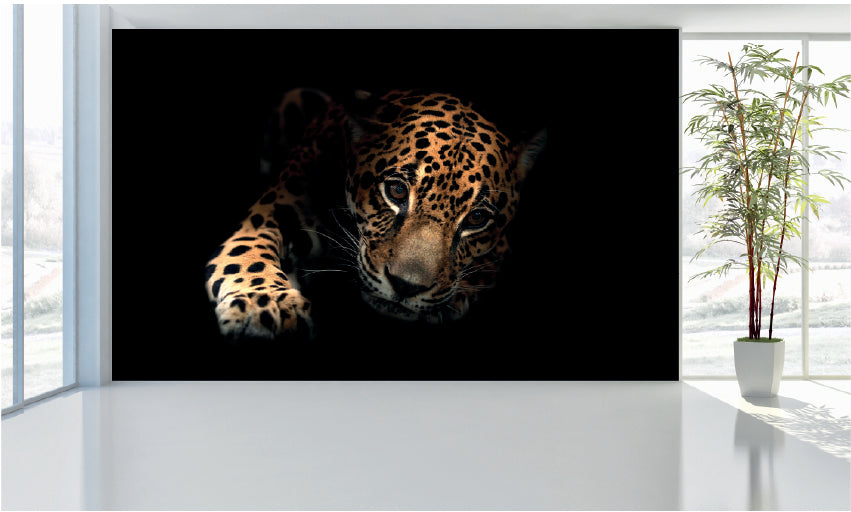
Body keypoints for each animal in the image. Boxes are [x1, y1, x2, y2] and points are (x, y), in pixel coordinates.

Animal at [204, 88, 546, 341]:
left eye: (476, 219)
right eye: (396, 191)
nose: (406, 286)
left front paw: (455, 297)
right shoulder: (279, 205)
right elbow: (248, 251)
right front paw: (264, 305)